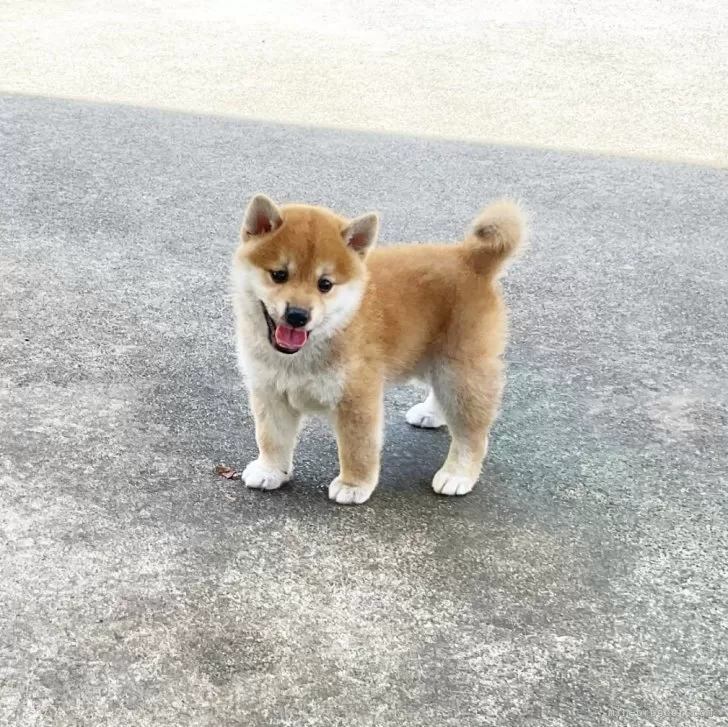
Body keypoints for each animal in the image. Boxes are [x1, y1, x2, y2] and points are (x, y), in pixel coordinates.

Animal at [232, 195, 524, 506]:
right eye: (279, 275)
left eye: (325, 284)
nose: (298, 315)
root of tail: (470, 259)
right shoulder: (270, 392)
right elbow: (271, 438)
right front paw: (270, 470)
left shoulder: (357, 398)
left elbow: (357, 448)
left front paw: (353, 485)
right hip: (438, 361)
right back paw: (431, 413)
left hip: (462, 372)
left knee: (472, 434)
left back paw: (458, 474)